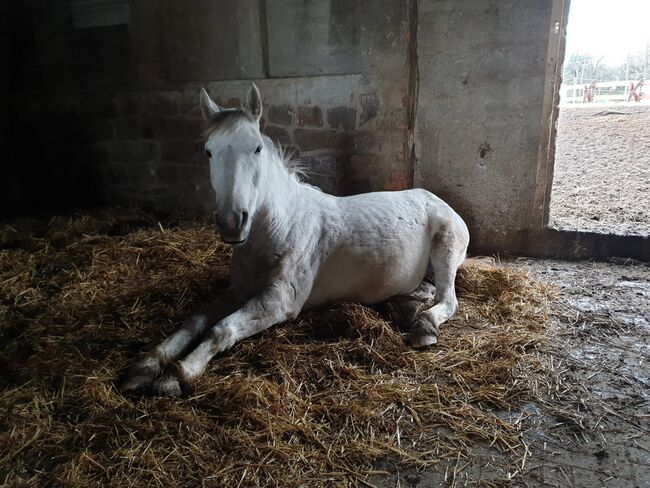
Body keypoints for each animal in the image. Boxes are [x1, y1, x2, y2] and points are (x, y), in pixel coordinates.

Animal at [120, 84, 466, 396]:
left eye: (257, 148)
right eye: (208, 150)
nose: (232, 223)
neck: (277, 229)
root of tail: (432, 197)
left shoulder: (280, 300)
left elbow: (221, 329)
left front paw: (176, 375)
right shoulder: (239, 291)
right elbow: (196, 321)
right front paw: (146, 366)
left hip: (446, 248)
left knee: (447, 298)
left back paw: (424, 327)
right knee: (425, 290)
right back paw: (410, 309)